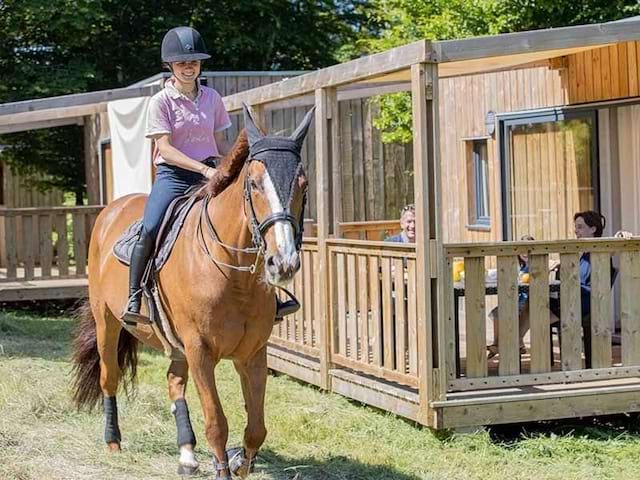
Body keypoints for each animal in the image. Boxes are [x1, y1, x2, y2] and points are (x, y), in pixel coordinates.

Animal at [71, 107, 314, 478]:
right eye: (254, 184)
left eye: (303, 185)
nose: (283, 262)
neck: (233, 275)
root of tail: (110, 211)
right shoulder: (201, 351)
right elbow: (217, 424)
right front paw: (222, 466)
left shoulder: (253, 353)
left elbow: (256, 429)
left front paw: (238, 462)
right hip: (106, 323)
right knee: (108, 377)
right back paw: (113, 440)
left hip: (175, 343)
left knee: (174, 381)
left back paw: (186, 453)